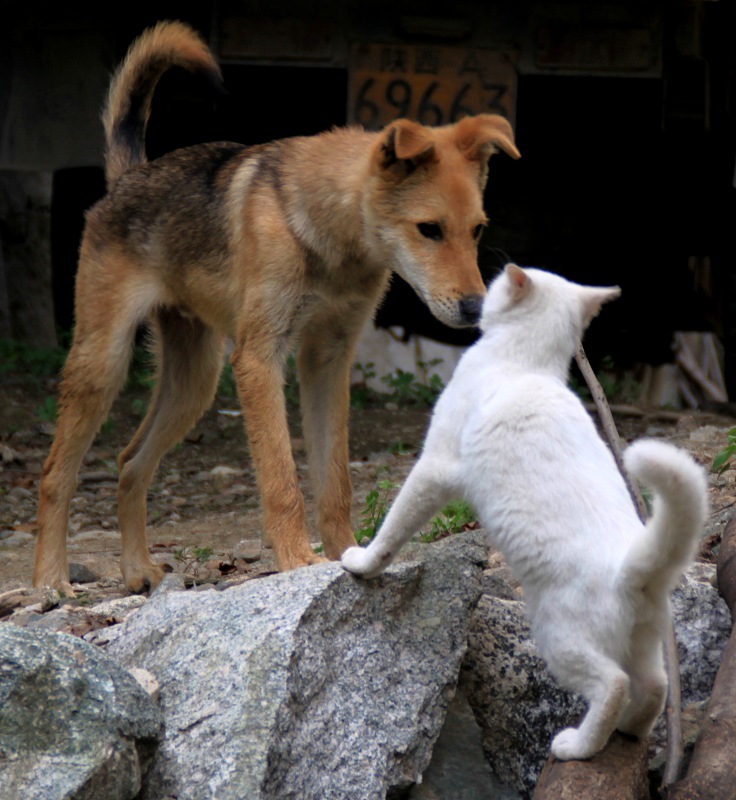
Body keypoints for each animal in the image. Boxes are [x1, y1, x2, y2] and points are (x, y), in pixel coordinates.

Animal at [31, 20, 520, 592]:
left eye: (477, 230)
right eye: (429, 229)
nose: (475, 309)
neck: (331, 239)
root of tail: (129, 178)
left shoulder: (328, 361)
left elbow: (334, 481)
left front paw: (346, 555)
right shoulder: (261, 359)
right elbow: (282, 478)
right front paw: (295, 560)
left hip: (193, 382)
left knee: (130, 463)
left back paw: (137, 570)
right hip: (103, 366)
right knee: (56, 475)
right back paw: (50, 582)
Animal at [342, 264, 712, 764]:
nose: (478, 295)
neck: (526, 362)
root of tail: (633, 567)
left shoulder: (435, 465)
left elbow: (393, 526)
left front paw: (361, 562)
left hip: (558, 638)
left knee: (612, 685)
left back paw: (576, 746)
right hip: (644, 642)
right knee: (655, 687)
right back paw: (630, 734)